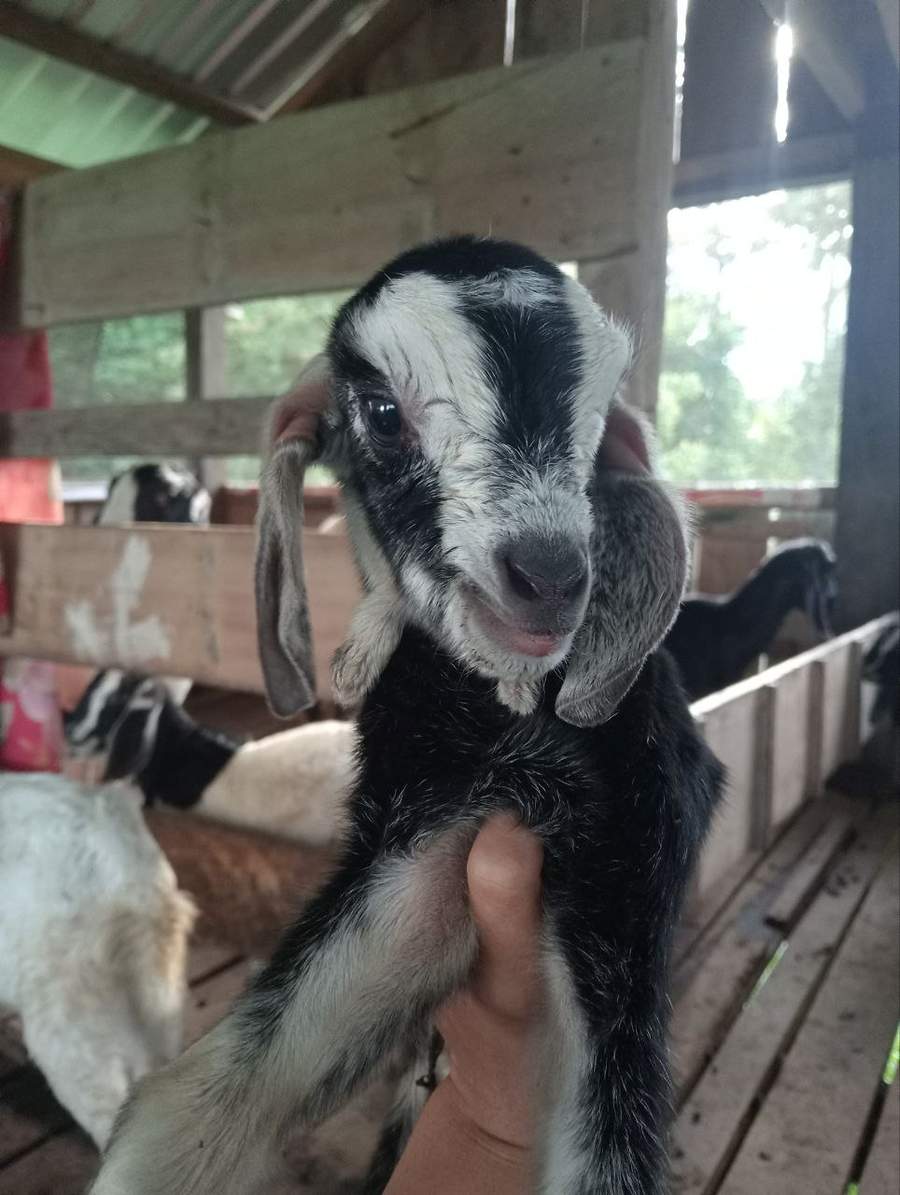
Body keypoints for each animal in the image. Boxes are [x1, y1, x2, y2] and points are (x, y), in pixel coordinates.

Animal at [91, 236, 723, 1195]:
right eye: (383, 413)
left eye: (594, 420)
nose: (548, 576)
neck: (507, 738)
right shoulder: (413, 841)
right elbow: (187, 1112)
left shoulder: (626, 875)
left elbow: (604, 1148)